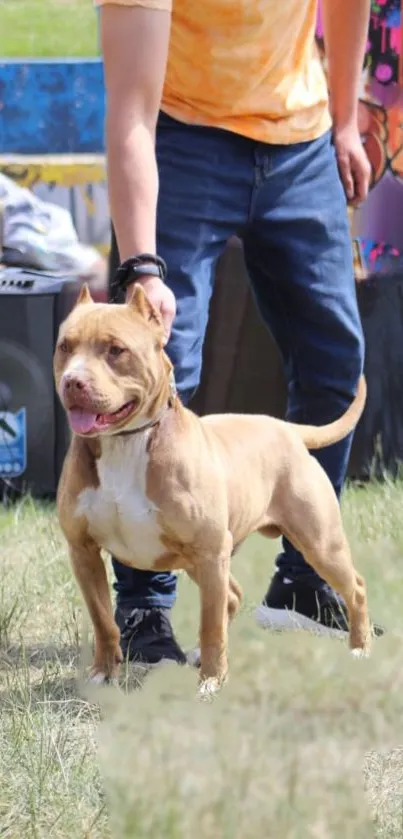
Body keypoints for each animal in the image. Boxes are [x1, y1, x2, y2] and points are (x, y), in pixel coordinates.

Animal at [54, 286, 372, 692]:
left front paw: (211, 683)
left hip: (317, 541)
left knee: (354, 587)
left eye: (115, 350)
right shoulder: (84, 551)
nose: (72, 381)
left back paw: (360, 647)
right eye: (65, 346)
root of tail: (286, 427)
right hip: (206, 558)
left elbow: (211, 626)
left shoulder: (209, 552)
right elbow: (102, 619)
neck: (126, 442)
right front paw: (102, 673)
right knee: (232, 597)